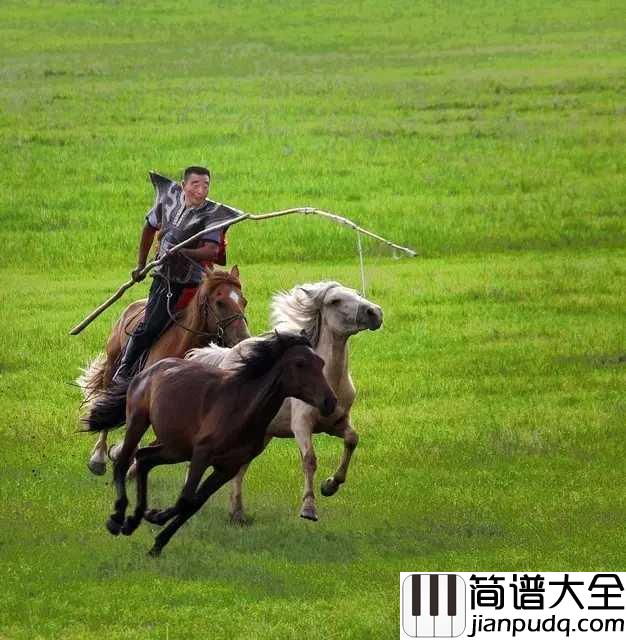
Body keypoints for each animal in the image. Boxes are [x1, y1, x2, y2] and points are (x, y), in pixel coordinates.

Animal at [82, 331, 337, 556]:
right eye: (300, 364)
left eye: (321, 362)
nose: (330, 402)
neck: (242, 409)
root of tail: (147, 371)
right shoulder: (202, 455)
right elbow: (186, 499)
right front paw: (155, 517)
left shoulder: (227, 468)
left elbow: (193, 504)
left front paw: (157, 542)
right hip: (139, 421)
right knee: (123, 462)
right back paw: (117, 519)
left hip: (176, 448)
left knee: (144, 458)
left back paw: (133, 520)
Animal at [187, 281, 383, 523]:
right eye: (334, 301)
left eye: (356, 293)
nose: (375, 312)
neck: (329, 379)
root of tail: (226, 357)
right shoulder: (301, 425)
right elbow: (309, 459)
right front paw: (309, 508)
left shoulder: (337, 423)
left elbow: (352, 440)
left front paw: (330, 486)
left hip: (261, 435)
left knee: (240, 467)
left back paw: (237, 513)